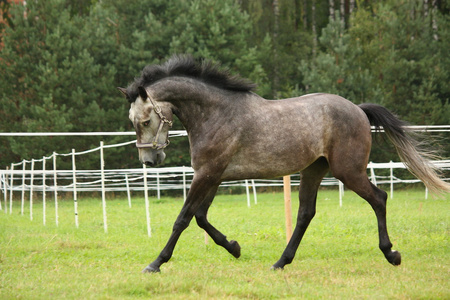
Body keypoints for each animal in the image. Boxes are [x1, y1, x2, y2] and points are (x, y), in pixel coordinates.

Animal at [118, 55, 448, 274]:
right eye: (133, 122)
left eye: (144, 121)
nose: (149, 160)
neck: (215, 114)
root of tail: (357, 109)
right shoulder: (213, 176)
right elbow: (200, 217)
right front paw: (235, 247)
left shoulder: (207, 174)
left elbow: (183, 219)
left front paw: (155, 263)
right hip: (314, 170)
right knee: (305, 214)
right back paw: (280, 262)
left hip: (348, 171)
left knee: (379, 198)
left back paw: (391, 254)